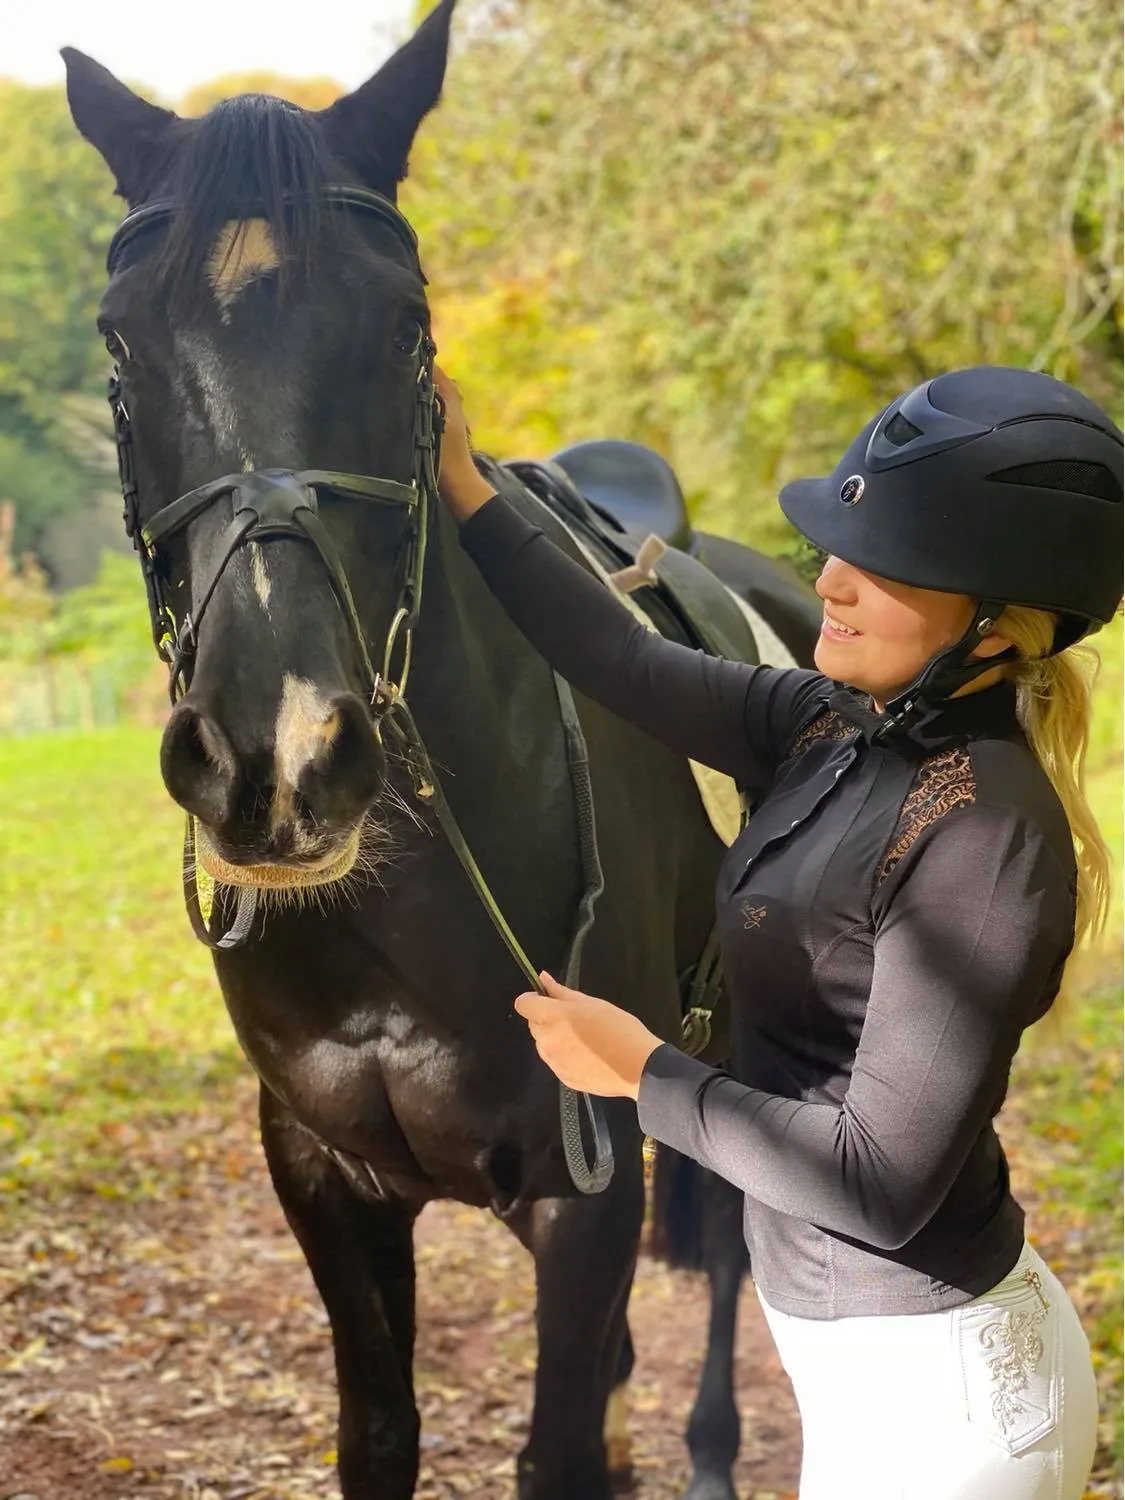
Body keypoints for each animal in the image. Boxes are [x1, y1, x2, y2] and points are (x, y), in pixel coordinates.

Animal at [61, 5, 816, 1494]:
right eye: (118, 347)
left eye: (408, 330)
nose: (278, 758)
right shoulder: (324, 1182)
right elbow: (383, 1439)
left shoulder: (587, 1191)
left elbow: (559, 1441)